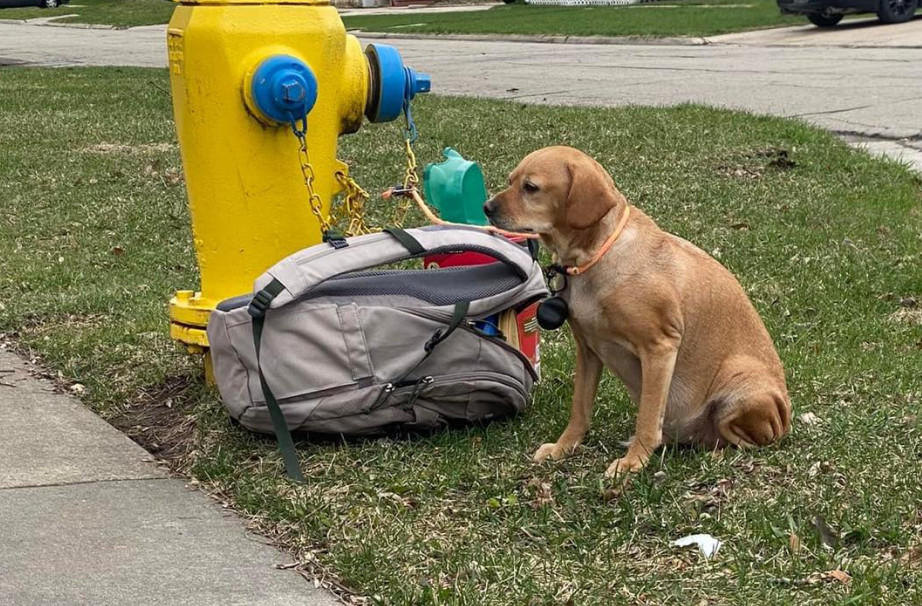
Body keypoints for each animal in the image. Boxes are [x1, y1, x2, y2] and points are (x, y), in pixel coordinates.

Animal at [482, 147, 792, 480]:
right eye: (511, 180)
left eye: (531, 187)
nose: (487, 207)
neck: (594, 256)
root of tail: (785, 417)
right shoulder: (588, 350)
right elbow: (580, 409)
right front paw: (563, 447)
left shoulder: (660, 347)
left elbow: (647, 418)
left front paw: (634, 462)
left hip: (741, 387)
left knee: (747, 441)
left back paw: (717, 455)